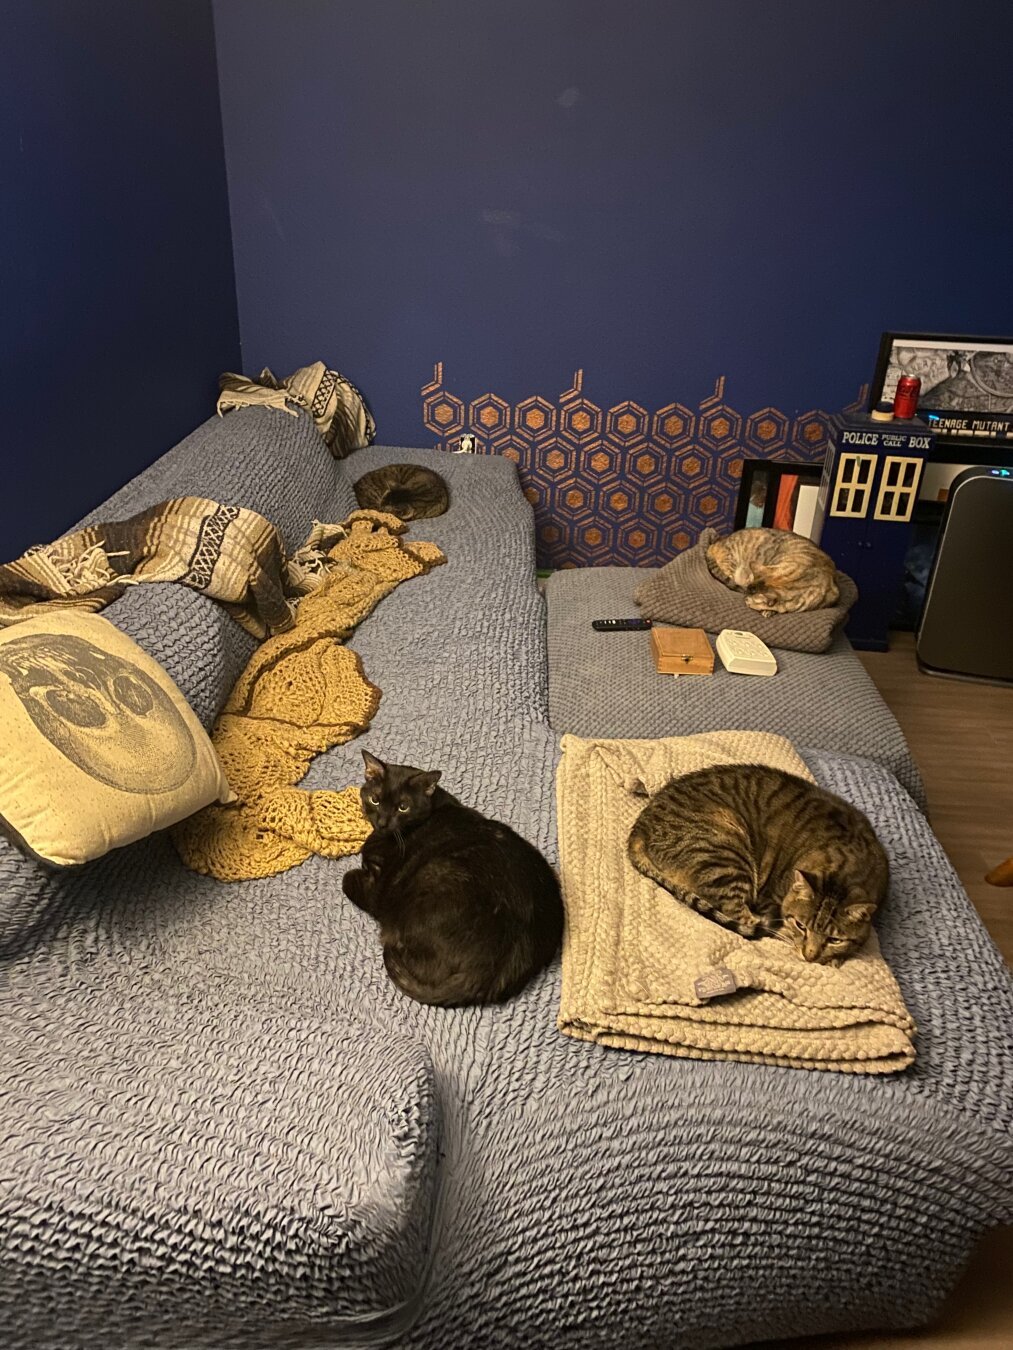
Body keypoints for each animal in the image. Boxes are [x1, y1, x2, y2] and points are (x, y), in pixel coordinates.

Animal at [341, 750, 564, 1004]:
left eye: (403, 807)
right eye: (375, 800)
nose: (382, 822)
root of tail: (490, 974)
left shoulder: (378, 889)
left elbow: (347, 879)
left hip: (434, 872)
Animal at [626, 766, 886, 966]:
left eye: (834, 939)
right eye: (801, 926)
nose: (809, 956)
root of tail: (639, 828)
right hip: (727, 856)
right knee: (742, 917)